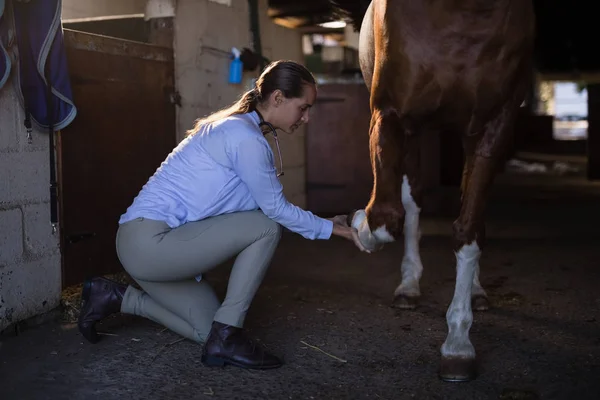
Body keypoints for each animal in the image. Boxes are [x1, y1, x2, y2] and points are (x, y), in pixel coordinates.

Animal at [332, 0, 536, 382]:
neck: (461, 15)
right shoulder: (390, 117)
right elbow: (385, 217)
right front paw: (358, 225)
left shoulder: (494, 126)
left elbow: (468, 229)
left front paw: (458, 343)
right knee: (410, 204)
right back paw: (408, 286)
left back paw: (476, 292)